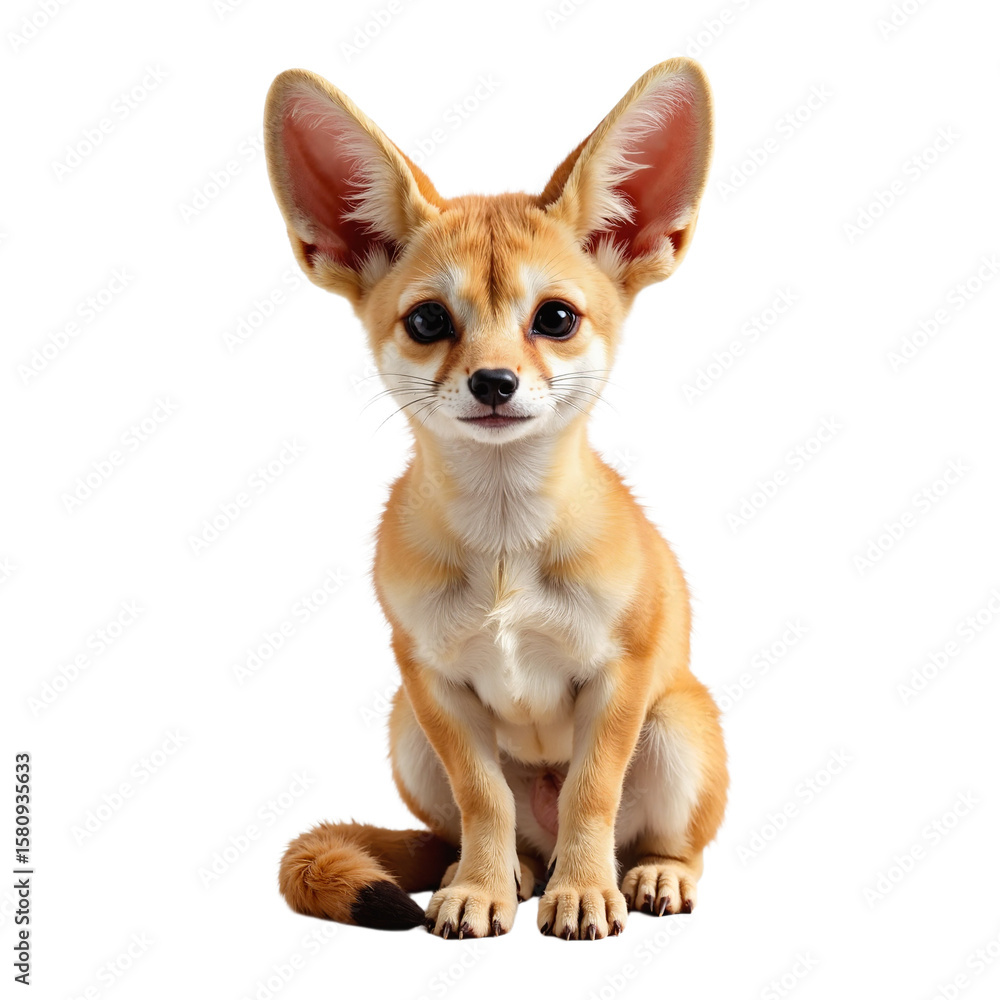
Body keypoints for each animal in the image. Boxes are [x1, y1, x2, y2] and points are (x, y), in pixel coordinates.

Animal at [263, 57, 728, 940]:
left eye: (556, 318)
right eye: (427, 321)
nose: (493, 382)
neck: (508, 546)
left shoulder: (621, 680)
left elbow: (591, 793)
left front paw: (585, 890)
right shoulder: (431, 685)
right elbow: (484, 800)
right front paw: (480, 888)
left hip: (677, 724)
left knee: (656, 837)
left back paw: (644, 872)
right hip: (405, 731)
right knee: (490, 830)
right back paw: (500, 872)